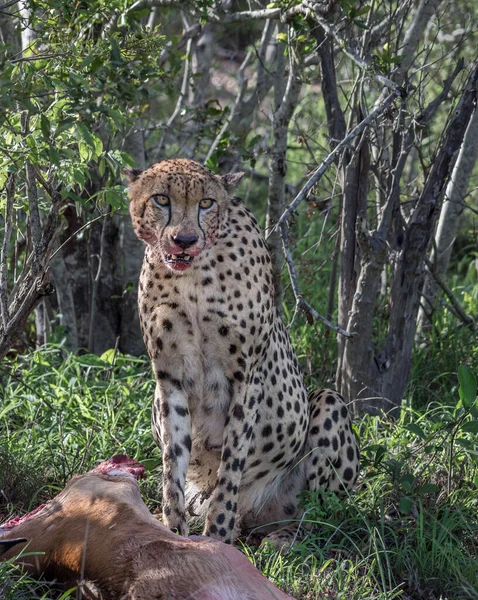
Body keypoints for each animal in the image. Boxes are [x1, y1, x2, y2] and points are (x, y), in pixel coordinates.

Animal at [123, 162, 358, 548]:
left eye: (206, 203)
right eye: (161, 199)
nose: (184, 240)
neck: (192, 277)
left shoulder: (247, 378)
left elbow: (230, 466)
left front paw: (216, 539)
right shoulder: (169, 381)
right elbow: (173, 465)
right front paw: (173, 532)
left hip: (328, 403)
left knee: (322, 515)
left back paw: (283, 538)